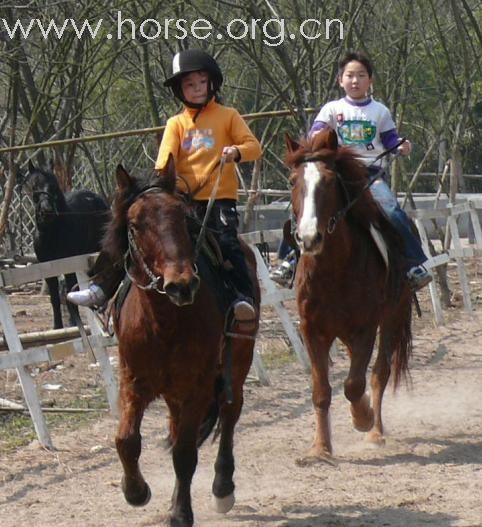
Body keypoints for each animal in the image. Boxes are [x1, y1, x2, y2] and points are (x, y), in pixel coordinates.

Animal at [25, 161, 110, 328]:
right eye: (34, 186)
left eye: (53, 185)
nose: (46, 212)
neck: (52, 234)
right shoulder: (47, 269)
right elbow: (55, 298)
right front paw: (58, 326)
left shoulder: (68, 266)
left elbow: (69, 292)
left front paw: (76, 323)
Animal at [103, 161, 258, 527]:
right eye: (135, 224)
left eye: (184, 219)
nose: (181, 284)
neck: (163, 323)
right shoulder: (133, 382)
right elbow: (126, 439)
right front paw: (136, 491)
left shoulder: (197, 388)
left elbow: (185, 454)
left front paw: (180, 513)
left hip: (237, 363)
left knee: (230, 412)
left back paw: (222, 488)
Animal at [284, 128, 412, 462]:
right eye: (292, 181)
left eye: (329, 181)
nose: (308, 237)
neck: (332, 271)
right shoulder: (312, 330)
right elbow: (321, 391)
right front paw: (320, 449)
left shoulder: (366, 327)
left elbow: (354, 384)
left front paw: (362, 417)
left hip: (392, 317)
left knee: (379, 373)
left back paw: (375, 431)